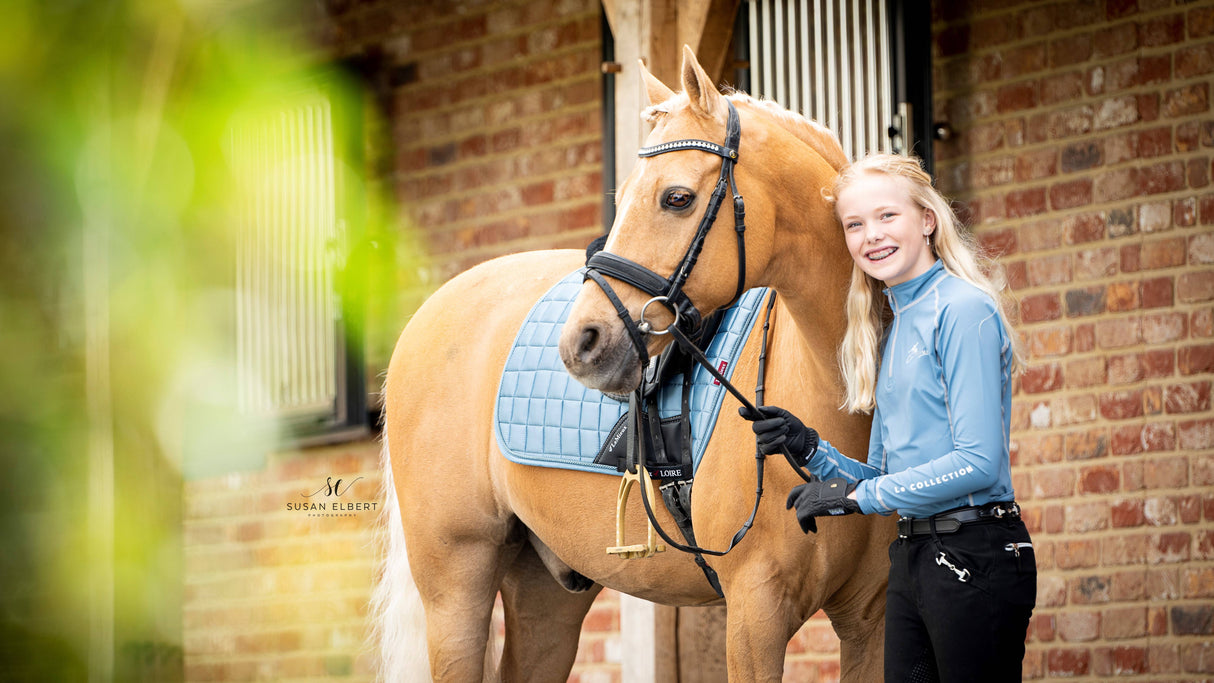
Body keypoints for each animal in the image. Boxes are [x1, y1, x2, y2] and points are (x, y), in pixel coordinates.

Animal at [373, 45, 898, 679]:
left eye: (677, 197)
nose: (581, 344)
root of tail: (427, 314)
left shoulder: (869, 617)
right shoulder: (756, 612)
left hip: (545, 590)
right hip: (456, 586)